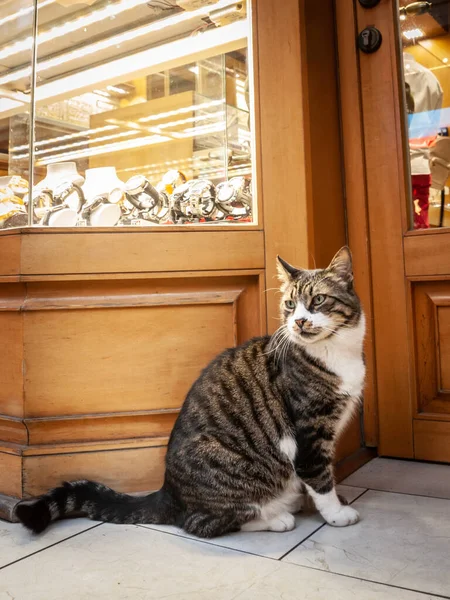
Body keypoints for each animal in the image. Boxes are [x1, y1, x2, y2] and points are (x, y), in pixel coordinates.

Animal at [15, 246, 366, 536]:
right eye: (290, 304)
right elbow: (319, 476)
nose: (299, 322)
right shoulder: (309, 429)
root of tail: (168, 492)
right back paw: (276, 518)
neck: (337, 352)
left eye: (318, 300)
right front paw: (337, 513)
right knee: (202, 523)